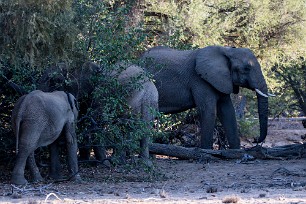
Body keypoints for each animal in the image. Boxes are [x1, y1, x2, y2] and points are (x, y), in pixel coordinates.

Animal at [142, 45, 272, 149]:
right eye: (246, 68)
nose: (255, 139)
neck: (227, 50)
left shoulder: (221, 79)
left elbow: (227, 111)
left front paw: (236, 151)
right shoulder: (200, 79)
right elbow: (209, 111)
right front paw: (206, 151)